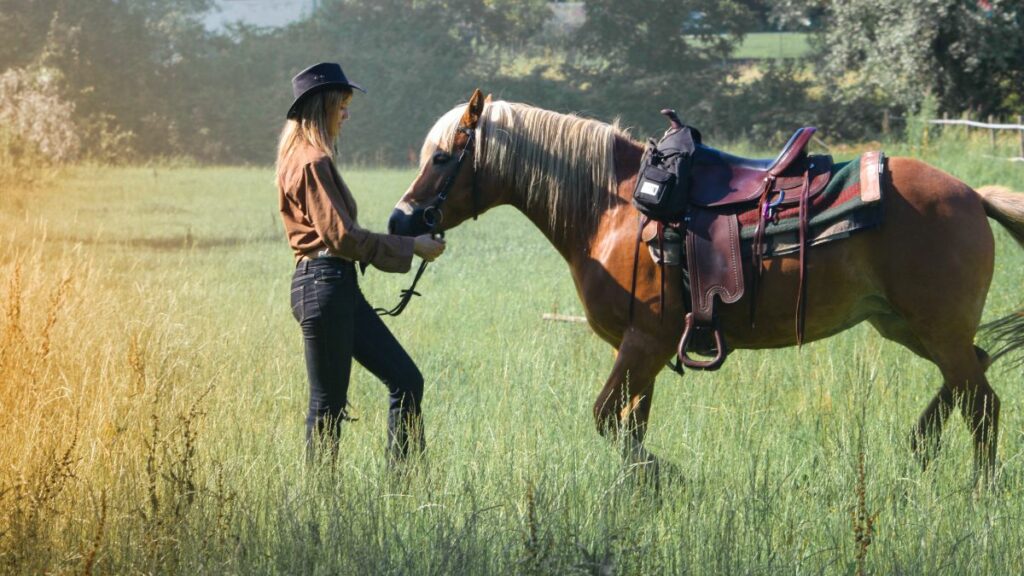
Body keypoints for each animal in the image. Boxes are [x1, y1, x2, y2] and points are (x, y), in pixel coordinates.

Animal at [385, 90, 1024, 479]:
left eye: (441, 158)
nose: (399, 220)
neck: (614, 207)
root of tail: (972, 194)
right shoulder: (640, 349)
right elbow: (628, 424)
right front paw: (640, 491)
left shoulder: (644, 343)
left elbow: (606, 418)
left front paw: (661, 476)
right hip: (906, 325)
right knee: (973, 374)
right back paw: (921, 445)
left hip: (934, 329)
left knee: (982, 404)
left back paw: (978, 488)